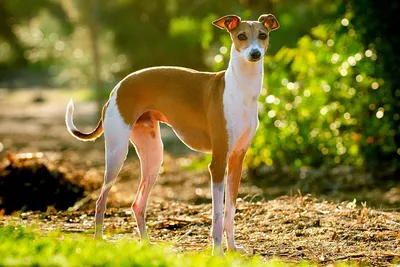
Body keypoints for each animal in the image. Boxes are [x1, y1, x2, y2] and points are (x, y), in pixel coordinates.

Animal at [65, 14, 278, 255]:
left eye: (263, 35)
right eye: (241, 36)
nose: (255, 54)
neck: (240, 90)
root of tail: (116, 88)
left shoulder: (236, 160)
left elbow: (230, 210)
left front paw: (232, 247)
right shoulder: (217, 163)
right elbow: (216, 214)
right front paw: (217, 252)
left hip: (153, 157)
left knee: (137, 204)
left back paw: (146, 244)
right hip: (117, 154)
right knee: (101, 200)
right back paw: (99, 241)